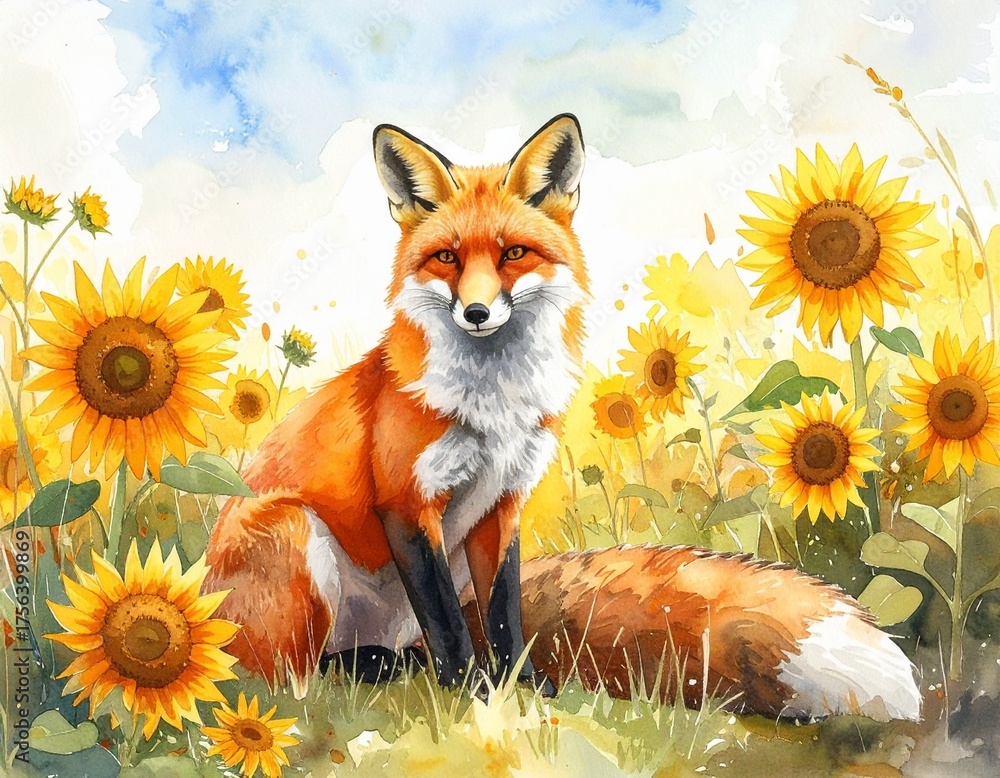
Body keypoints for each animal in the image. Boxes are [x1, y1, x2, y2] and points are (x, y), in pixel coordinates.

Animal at [204, 114, 921, 721]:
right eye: (447, 258)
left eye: (514, 253)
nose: (476, 312)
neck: (493, 407)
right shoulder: (408, 503)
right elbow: (449, 623)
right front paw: (471, 691)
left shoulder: (500, 504)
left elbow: (503, 615)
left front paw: (517, 684)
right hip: (294, 532)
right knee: (288, 680)